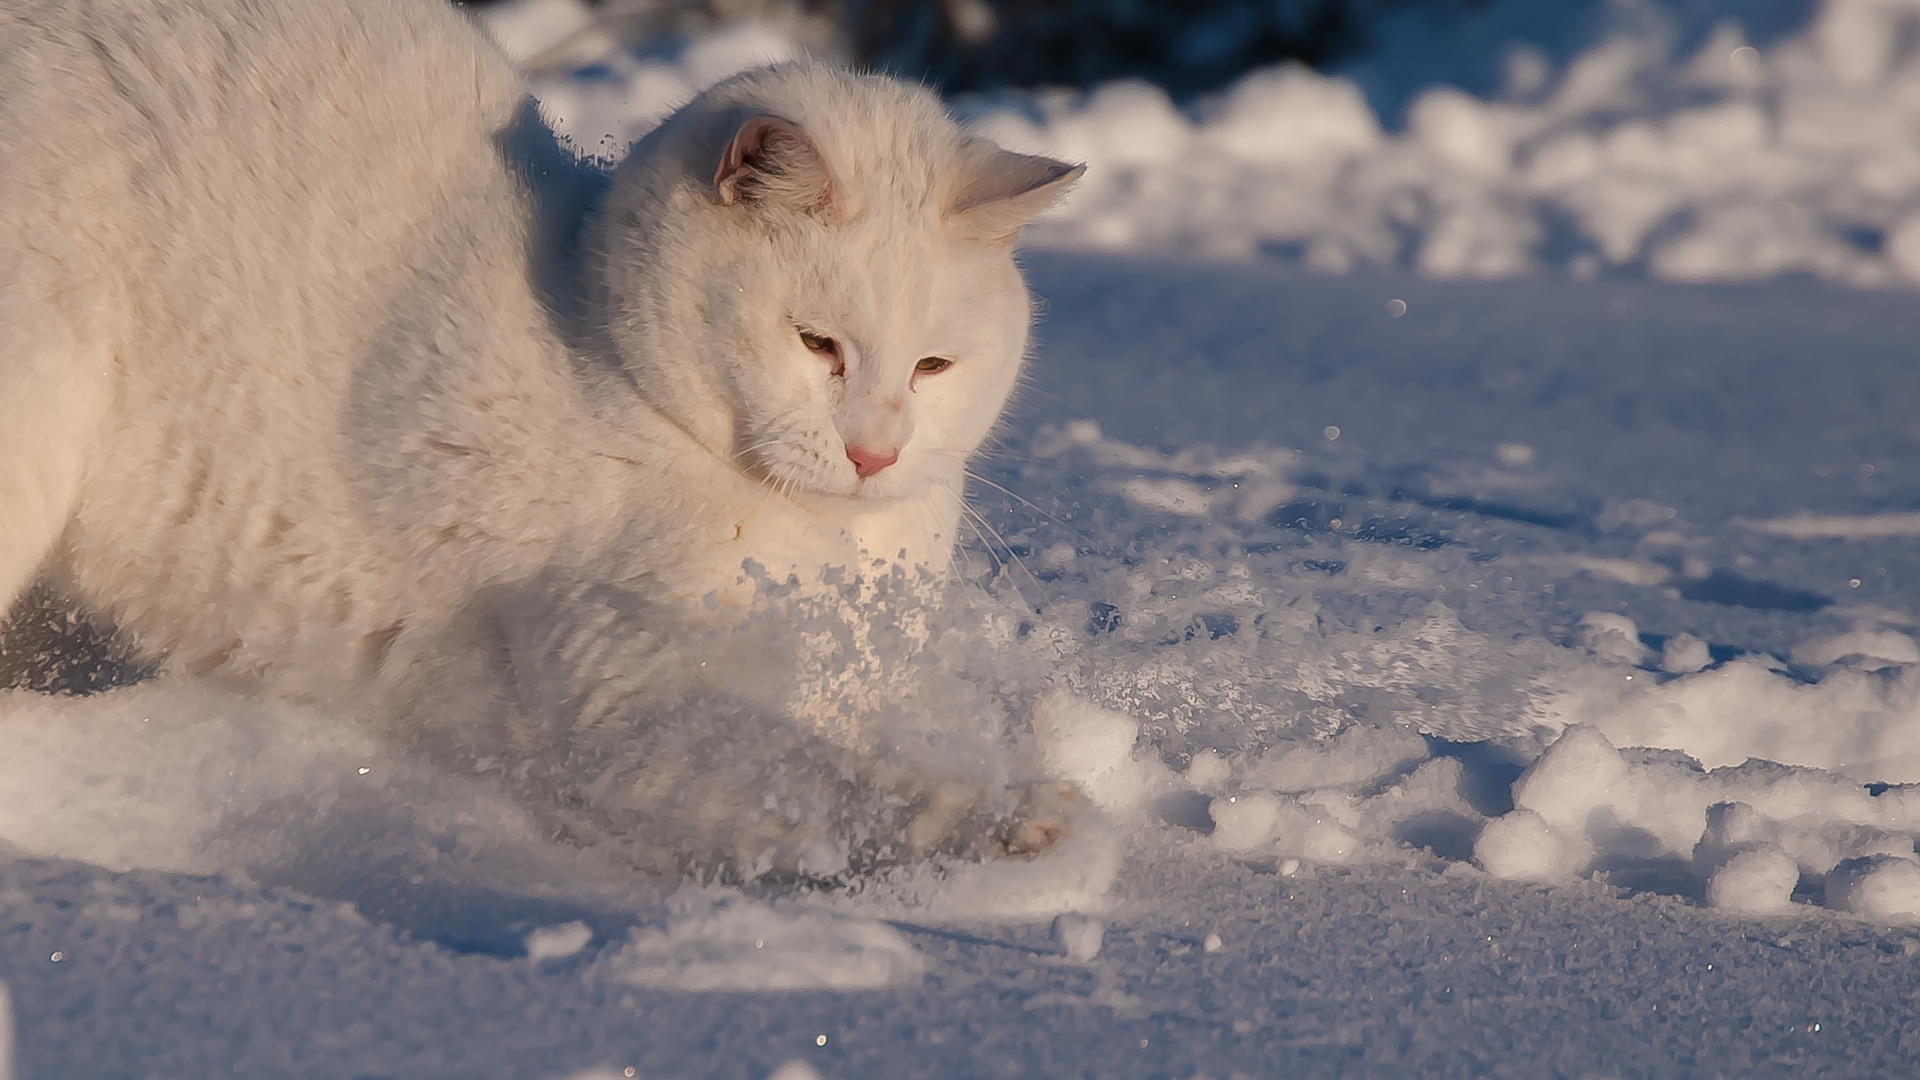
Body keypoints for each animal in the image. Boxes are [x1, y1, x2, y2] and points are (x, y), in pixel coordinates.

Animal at [0, 0, 1082, 876]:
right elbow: (814, 781)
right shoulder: (623, 691)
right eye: (817, 343)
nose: (875, 453)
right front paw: (999, 817)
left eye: (933, 367)